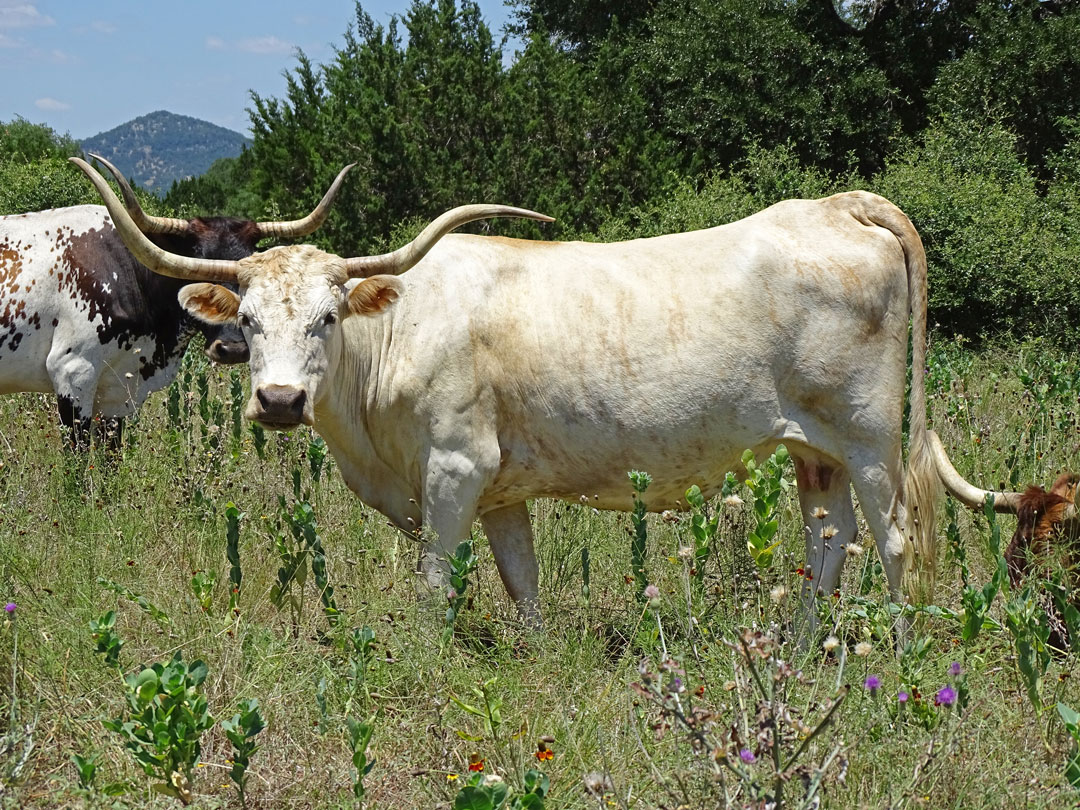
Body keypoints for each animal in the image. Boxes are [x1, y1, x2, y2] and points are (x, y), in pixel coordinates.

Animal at [73, 158, 946, 626]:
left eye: (327, 317)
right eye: (248, 322)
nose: (281, 401)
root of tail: (839, 205)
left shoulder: (454, 470)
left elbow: (434, 588)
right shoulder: (501, 493)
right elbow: (523, 588)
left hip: (870, 439)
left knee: (896, 542)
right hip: (813, 450)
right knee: (829, 544)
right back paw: (801, 654)